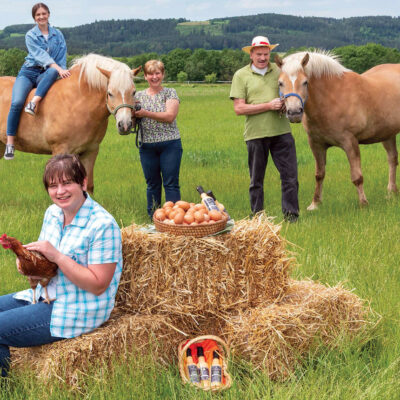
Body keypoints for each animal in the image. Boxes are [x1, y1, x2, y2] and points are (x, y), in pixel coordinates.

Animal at [0, 53, 141, 192]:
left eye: (133, 92)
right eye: (110, 93)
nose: (125, 125)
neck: (77, 101)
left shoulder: (90, 152)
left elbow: (88, 186)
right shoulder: (60, 151)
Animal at [276, 50, 400, 209]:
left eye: (305, 82)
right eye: (280, 83)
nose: (294, 112)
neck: (332, 98)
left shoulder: (350, 142)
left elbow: (357, 177)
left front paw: (363, 204)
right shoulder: (316, 145)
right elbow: (319, 174)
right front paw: (315, 204)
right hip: (387, 134)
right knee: (392, 159)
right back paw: (391, 193)